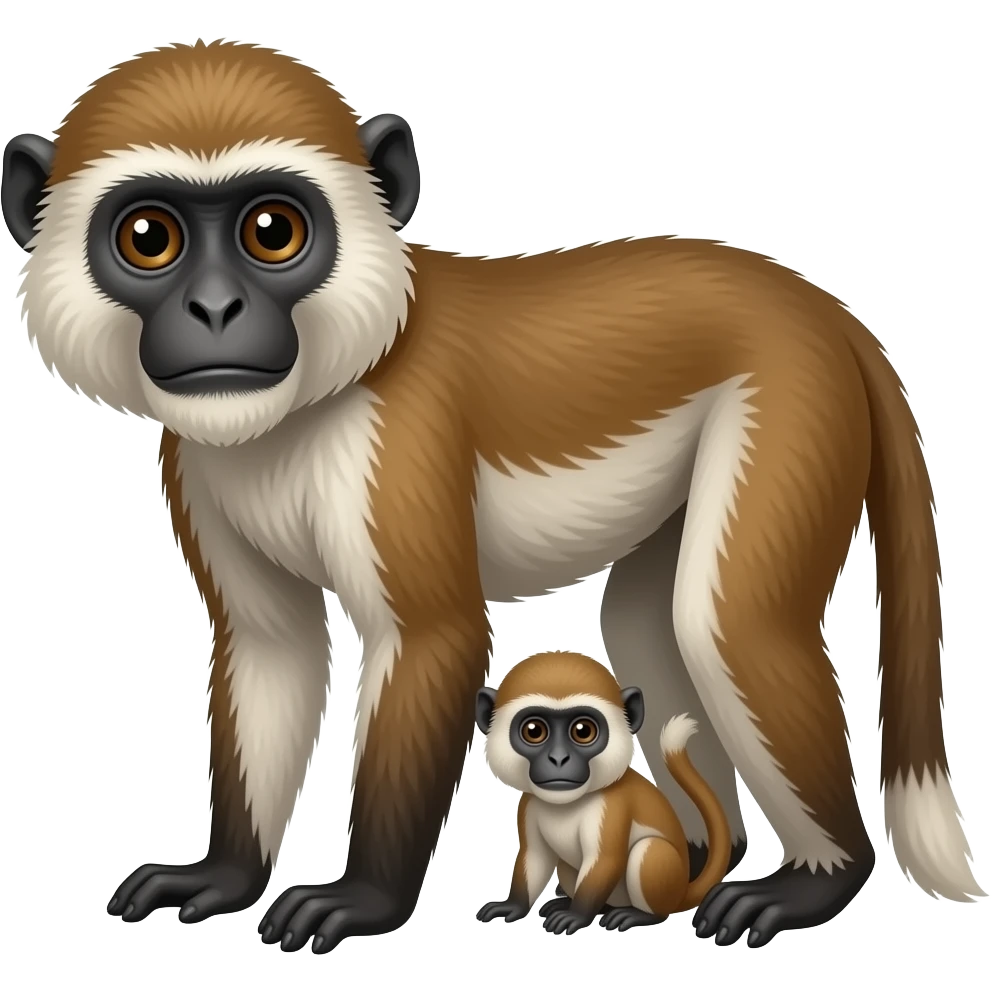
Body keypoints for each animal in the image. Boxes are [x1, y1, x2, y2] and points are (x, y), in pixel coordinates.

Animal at [475, 651, 732, 934]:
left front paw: (576, 916)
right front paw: (515, 906)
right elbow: (535, 857)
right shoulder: (529, 805)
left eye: (583, 731)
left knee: (651, 851)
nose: (558, 759)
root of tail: (681, 893)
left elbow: (605, 860)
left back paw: (640, 914)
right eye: (534, 731)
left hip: (664, 882)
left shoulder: (611, 805)